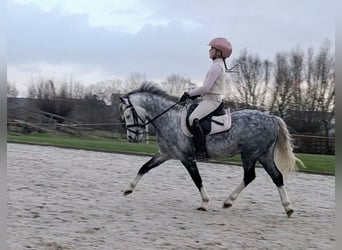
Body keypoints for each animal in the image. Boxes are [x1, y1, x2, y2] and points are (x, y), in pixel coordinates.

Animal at [119, 82, 300, 217]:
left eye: (127, 115)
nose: (132, 138)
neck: (169, 119)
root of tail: (271, 118)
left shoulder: (186, 158)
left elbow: (197, 179)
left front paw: (204, 203)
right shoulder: (165, 154)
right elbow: (145, 167)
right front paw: (128, 188)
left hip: (250, 155)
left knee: (250, 176)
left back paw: (228, 201)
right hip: (264, 155)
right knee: (276, 177)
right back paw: (288, 208)